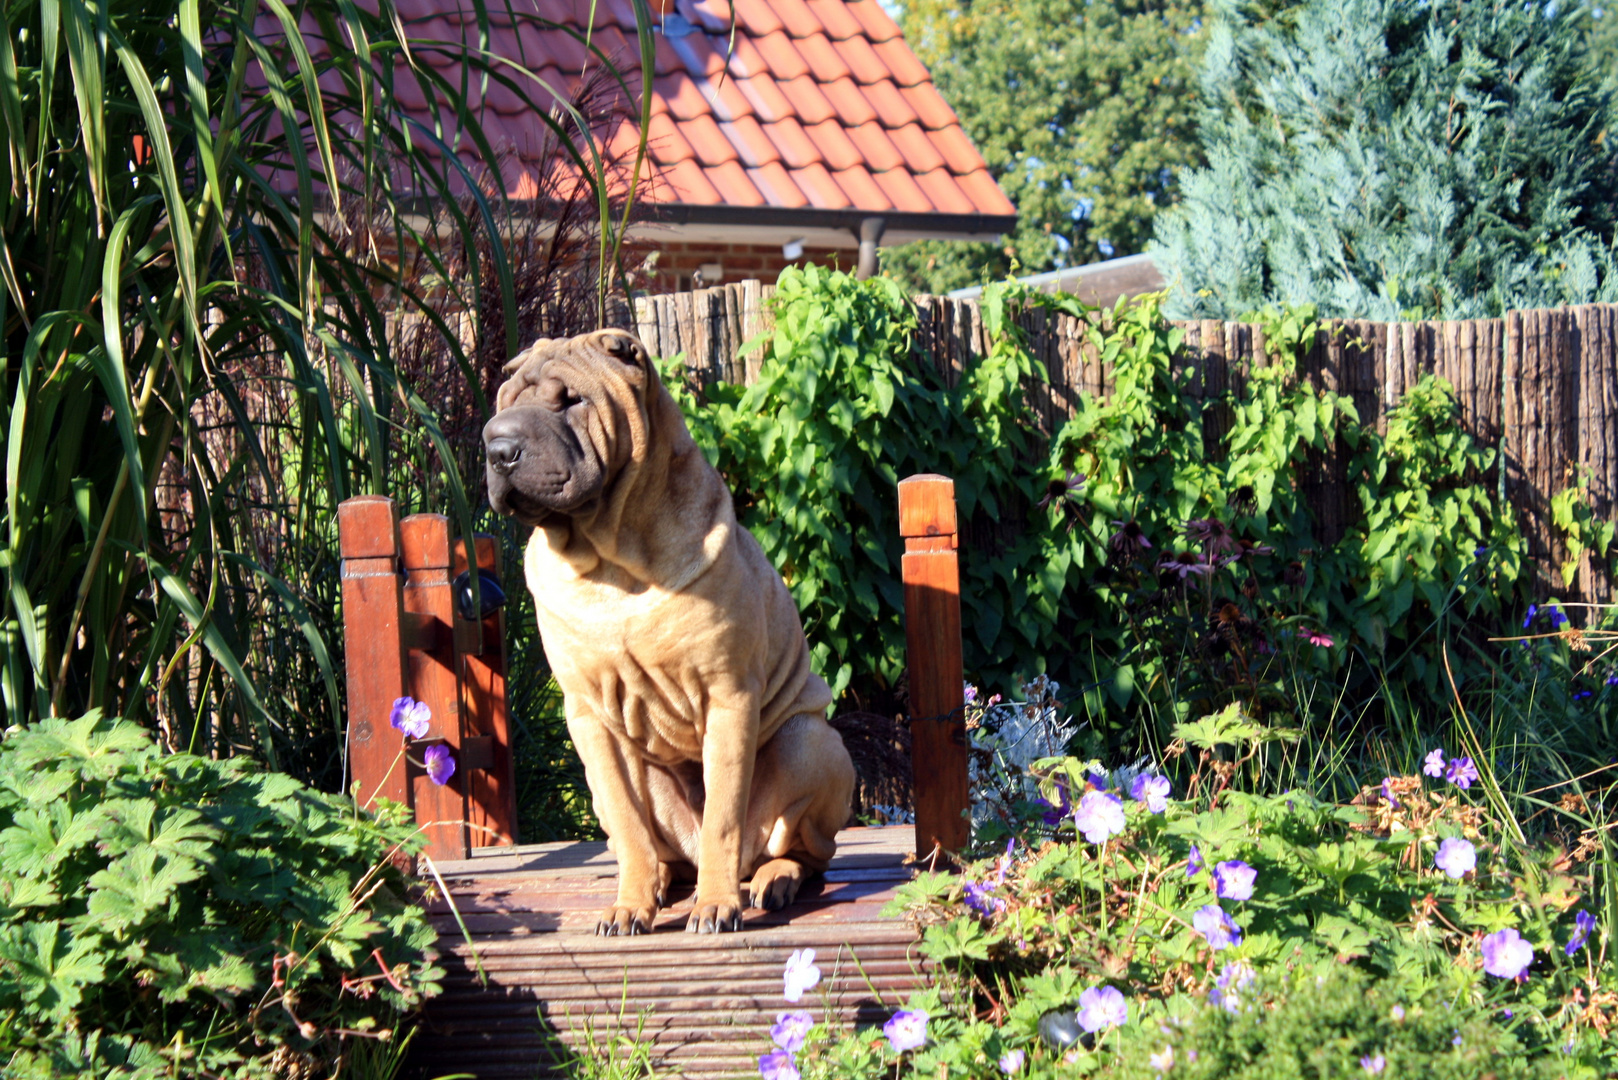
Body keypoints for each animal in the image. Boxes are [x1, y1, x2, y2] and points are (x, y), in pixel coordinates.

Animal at [478, 325, 860, 932]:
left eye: (571, 400)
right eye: (504, 404)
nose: (498, 447)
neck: (610, 560)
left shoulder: (728, 695)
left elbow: (723, 816)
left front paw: (716, 905)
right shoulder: (589, 718)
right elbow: (631, 825)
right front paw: (629, 906)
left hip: (811, 743)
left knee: (800, 851)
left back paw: (771, 880)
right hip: (602, 789)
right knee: (653, 845)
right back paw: (659, 880)